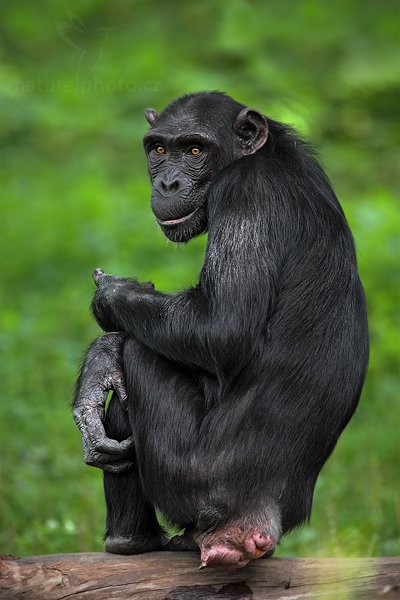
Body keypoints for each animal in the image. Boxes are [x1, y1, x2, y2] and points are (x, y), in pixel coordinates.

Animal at [72, 91, 368, 568]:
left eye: (195, 150)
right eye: (158, 149)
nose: (167, 183)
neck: (262, 157)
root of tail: (258, 521)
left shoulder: (245, 193)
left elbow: (220, 329)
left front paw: (107, 320)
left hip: (194, 483)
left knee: (139, 358)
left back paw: (128, 541)